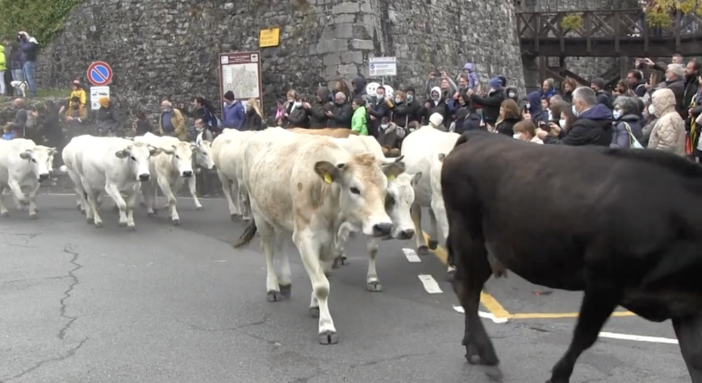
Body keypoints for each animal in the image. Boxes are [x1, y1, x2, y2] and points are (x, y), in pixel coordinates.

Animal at [234, 129, 404, 344]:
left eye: (384, 189)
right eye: (354, 189)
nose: (383, 226)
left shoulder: (332, 242)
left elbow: (322, 275)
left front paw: (315, 306)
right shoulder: (305, 239)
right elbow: (322, 285)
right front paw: (326, 327)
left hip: (279, 212)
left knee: (281, 242)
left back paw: (285, 282)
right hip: (259, 212)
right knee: (269, 249)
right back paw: (273, 287)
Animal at [328, 136, 420, 292]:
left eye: (411, 201)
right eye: (390, 198)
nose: (407, 232)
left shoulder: (377, 223)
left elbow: (372, 249)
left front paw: (372, 279)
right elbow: (340, 237)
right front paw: (334, 258)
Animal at [402, 126, 462, 280]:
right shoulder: (441, 204)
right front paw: (452, 267)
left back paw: (433, 240)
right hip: (416, 194)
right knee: (417, 217)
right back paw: (423, 245)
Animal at [442, 130, 702, 382]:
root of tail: (478, 136)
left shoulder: (687, 307)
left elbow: (694, 358)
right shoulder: (603, 283)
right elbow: (584, 337)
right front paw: (558, 376)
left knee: (470, 290)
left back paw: (473, 349)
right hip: (469, 237)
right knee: (466, 290)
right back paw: (486, 354)